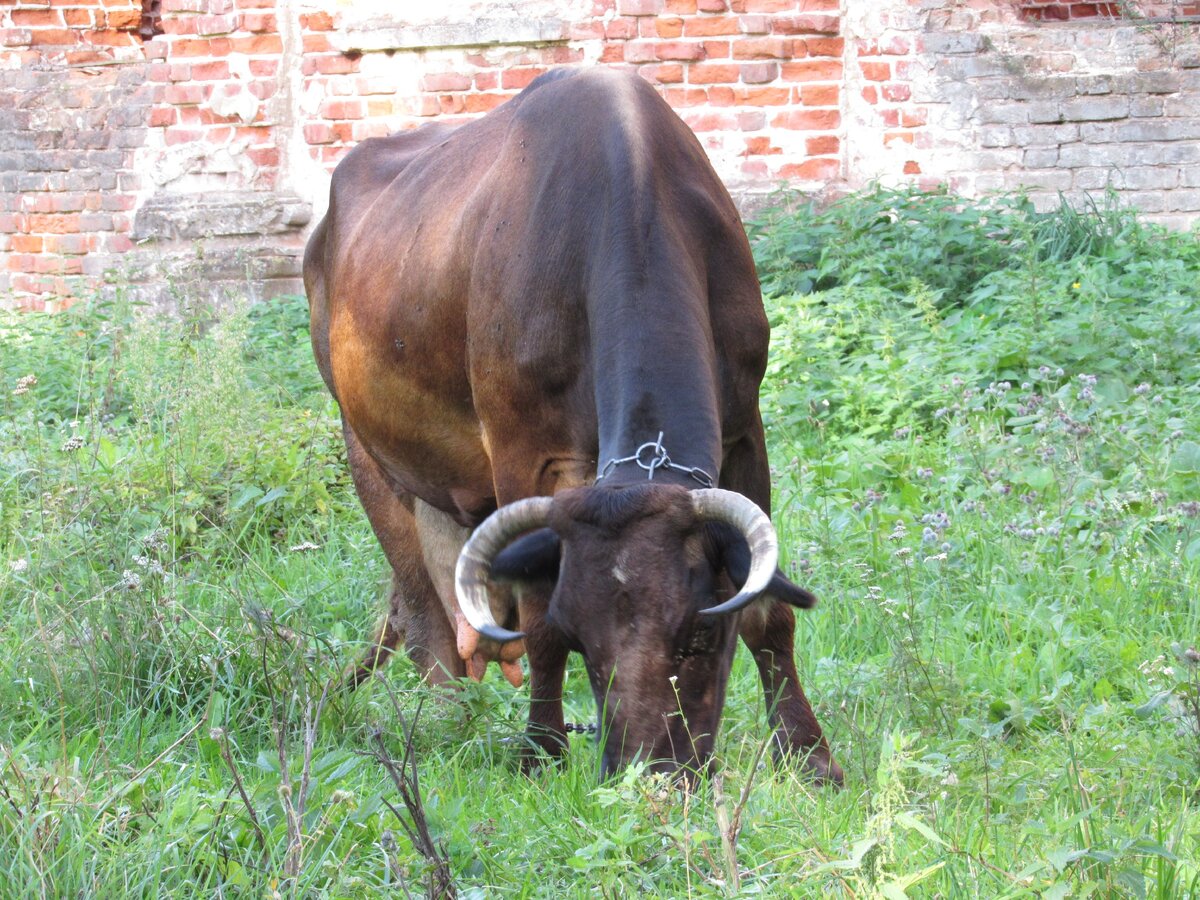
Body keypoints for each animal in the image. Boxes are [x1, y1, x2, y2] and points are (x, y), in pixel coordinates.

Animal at [304, 66, 840, 787]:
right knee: (427, 623)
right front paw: (540, 753)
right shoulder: (522, 453)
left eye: (700, 633)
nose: (648, 771)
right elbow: (538, 622)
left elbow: (768, 612)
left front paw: (811, 757)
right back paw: (446, 729)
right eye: (585, 640)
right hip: (367, 451)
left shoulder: (744, 433)